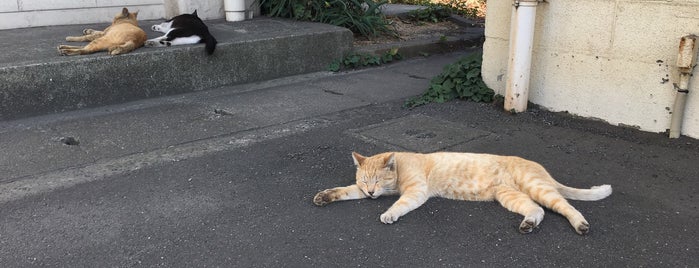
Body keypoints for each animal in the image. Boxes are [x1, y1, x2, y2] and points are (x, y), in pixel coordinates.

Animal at [314, 152, 616, 236]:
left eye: (377, 180)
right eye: (365, 182)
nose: (371, 192)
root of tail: (543, 169)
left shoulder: (416, 191)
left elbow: (400, 204)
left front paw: (389, 213)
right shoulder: (359, 191)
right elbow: (343, 191)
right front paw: (324, 195)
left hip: (537, 187)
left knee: (566, 206)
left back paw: (580, 224)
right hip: (510, 197)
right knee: (537, 210)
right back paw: (528, 224)